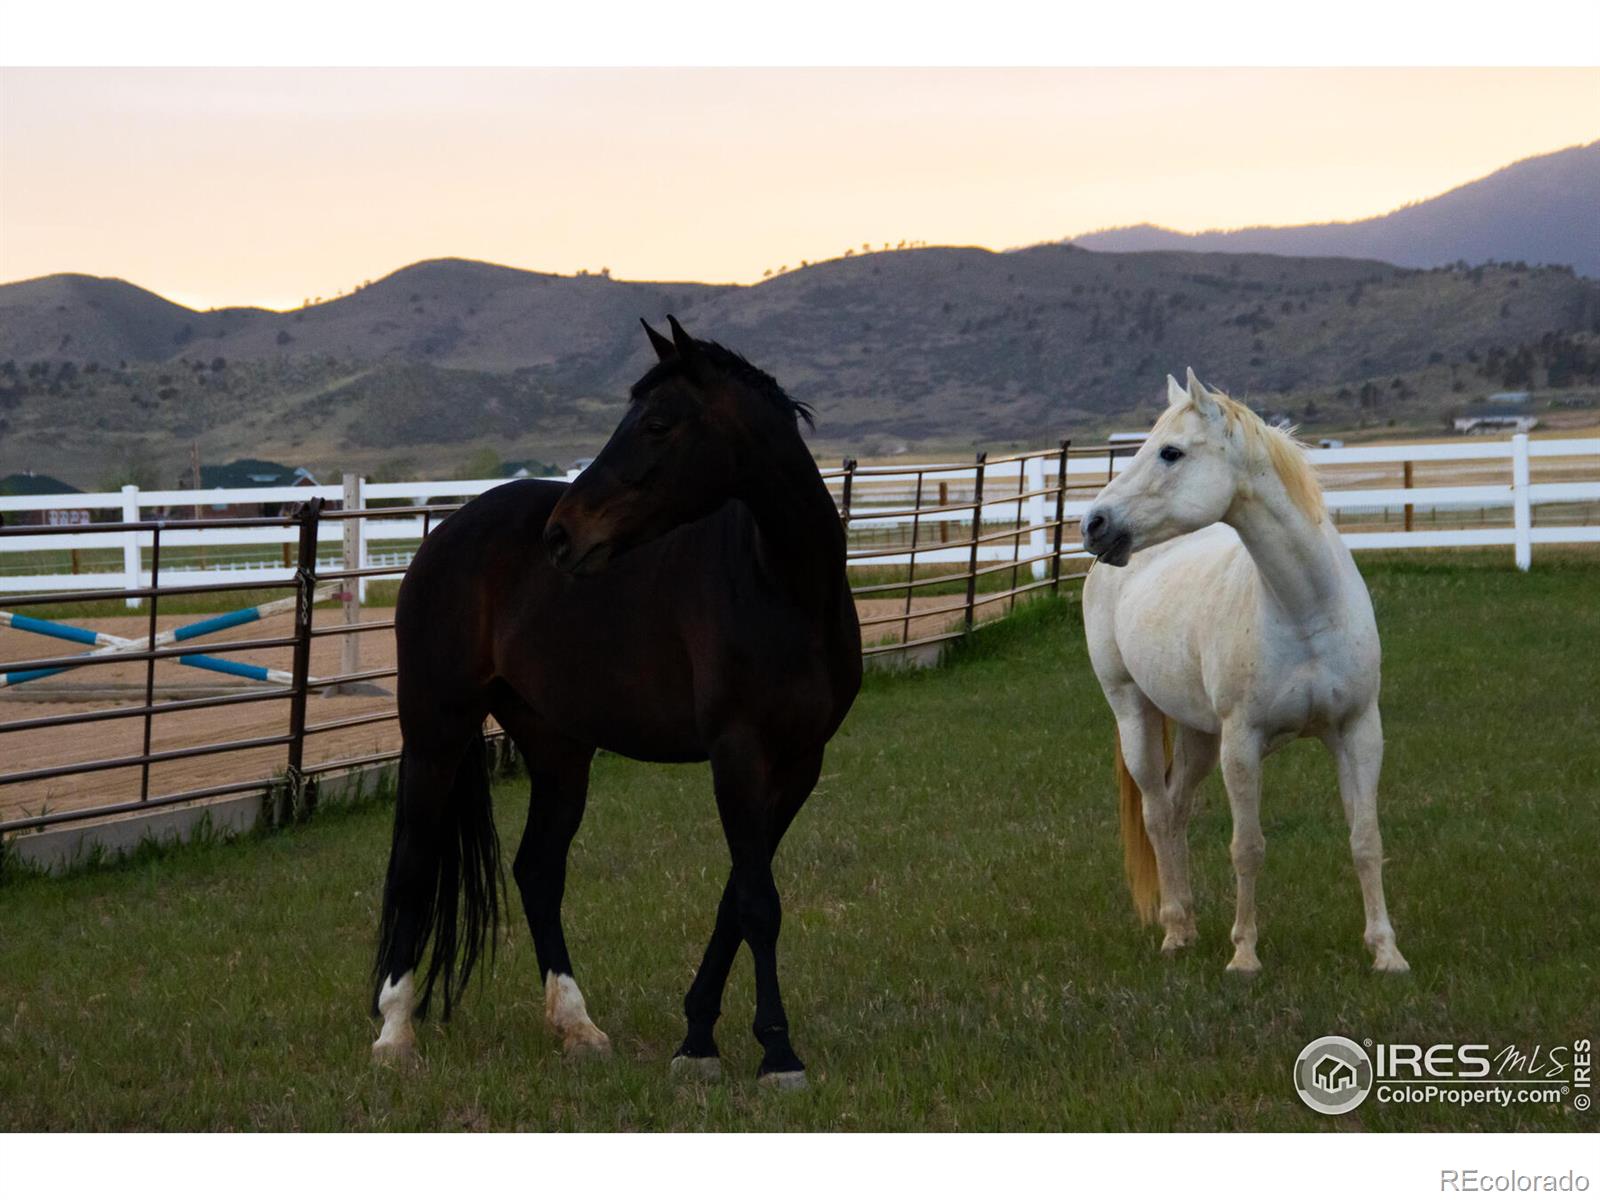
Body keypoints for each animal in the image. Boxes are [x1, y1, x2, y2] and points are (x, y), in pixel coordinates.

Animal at [372, 315, 864, 1088]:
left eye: (657, 423)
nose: (562, 534)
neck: (782, 587)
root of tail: (447, 532)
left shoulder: (798, 764)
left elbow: (737, 898)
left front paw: (699, 1038)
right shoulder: (737, 754)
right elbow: (758, 903)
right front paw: (776, 1053)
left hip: (558, 751)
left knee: (537, 872)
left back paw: (577, 1027)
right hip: (435, 734)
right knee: (414, 865)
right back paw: (395, 1033)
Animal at [1081, 374, 1408, 979]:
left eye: (1170, 452)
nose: (1094, 524)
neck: (1304, 609)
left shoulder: (1358, 732)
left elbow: (1365, 839)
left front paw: (1386, 952)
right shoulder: (1242, 742)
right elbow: (1248, 847)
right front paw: (1245, 955)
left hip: (1198, 734)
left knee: (1177, 809)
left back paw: (1186, 923)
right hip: (1133, 711)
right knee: (1157, 814)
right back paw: (1174, 933)